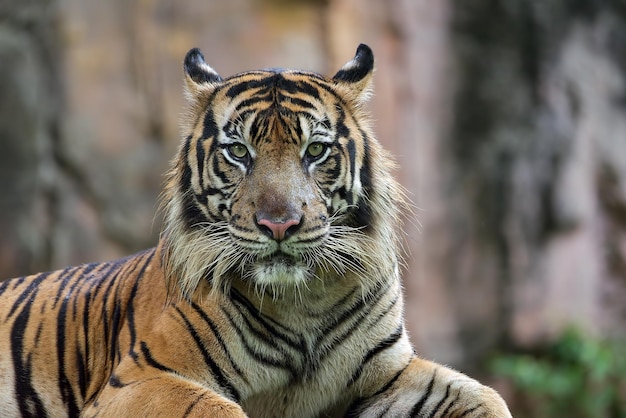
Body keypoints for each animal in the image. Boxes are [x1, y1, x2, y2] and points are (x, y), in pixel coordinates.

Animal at [0, 44, 510, 416]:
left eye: (316, 150)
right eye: (239, 151)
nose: (278, 224)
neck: (305, 302)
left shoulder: (388, 375)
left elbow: (486, 396)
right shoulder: (140, 378)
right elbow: (216, 409)